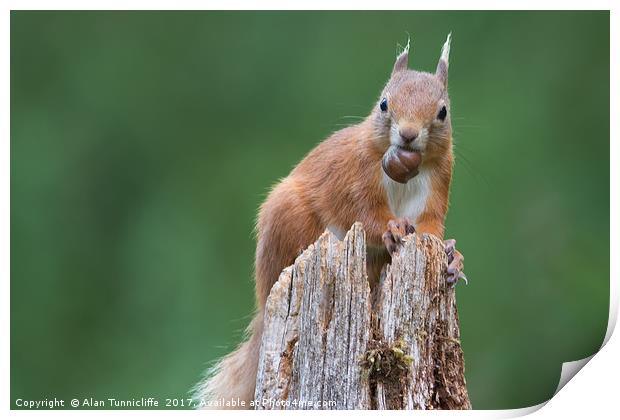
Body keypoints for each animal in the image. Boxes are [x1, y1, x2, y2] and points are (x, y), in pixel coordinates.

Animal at [195, 34, 464, 408]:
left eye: (442, 112)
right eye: (384, 103)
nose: (408, 135)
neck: (406, 171)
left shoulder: (438, 185)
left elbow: (430, 229)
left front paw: (452, 257)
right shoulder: (355, 176)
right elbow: (366, 215)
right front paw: (392, 228)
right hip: (289, 216)